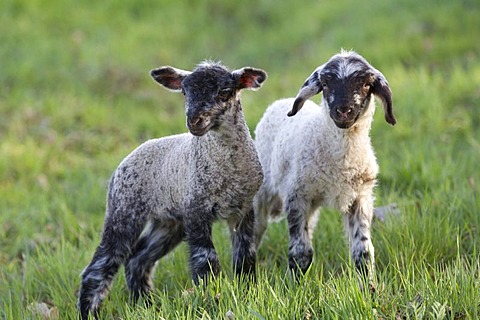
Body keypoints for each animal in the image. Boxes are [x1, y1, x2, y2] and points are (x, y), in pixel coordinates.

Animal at [77, 61, 268, 318]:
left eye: (225, 91)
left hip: (170, 222)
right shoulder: (196, 209)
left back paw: (145, 303)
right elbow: (206, 261)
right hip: (124, 209)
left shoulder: (243, 210)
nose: (194, 122)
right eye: (185, 92)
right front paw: (212, 300)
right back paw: (90, 312)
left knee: (138, 259)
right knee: (102, 264)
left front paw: (247, 294)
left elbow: (246, 257)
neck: (228, 169)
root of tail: (123, 163)